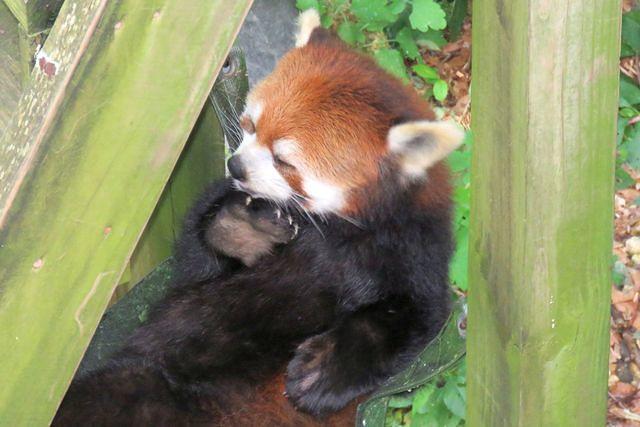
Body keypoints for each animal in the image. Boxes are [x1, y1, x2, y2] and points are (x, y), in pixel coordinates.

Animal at [54, 9, 463, 427]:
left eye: (284, 160)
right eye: (250, 125)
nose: (236, 165)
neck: (330, 228)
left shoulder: (413, 252)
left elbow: (411, 316)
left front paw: (320, 374)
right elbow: (196, 257)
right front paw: (243, 229)